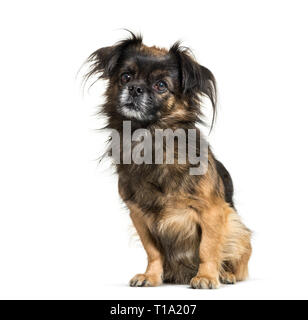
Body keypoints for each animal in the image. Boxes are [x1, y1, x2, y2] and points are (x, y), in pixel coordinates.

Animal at [84, 31, 250, 288]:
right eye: (125, 76)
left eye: (161, 85)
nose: (135, 88)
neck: (151, 139)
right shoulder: (139, 215)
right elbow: (153, 251)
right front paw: (151, 276)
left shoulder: (212, 211)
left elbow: (208, 248)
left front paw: (206, 276)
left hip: (237, 228)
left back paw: (226, 274)